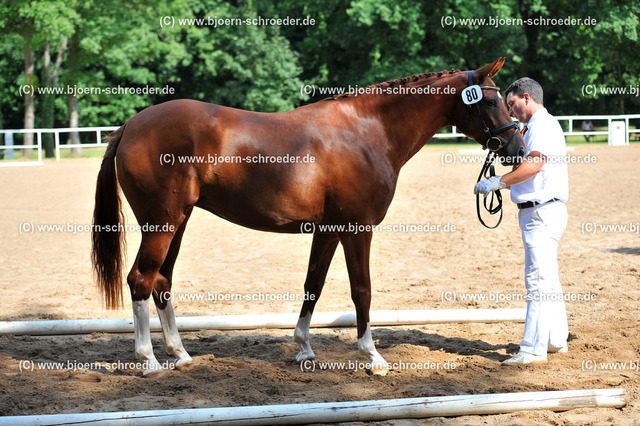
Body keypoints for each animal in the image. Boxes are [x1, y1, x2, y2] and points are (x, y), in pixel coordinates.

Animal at [94, 56, 524, 376]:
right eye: (489, 101)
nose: (517, 148)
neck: (368, 131)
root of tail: (130, 126)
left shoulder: (329, 231)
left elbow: (312, 285)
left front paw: (303, 348)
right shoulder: (357, 229)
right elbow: (361, 290)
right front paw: (373, 356)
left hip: (178, 221)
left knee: (162, 280)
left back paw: (180, 355)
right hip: (162, 224)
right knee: (140, 279)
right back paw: (149, 360)